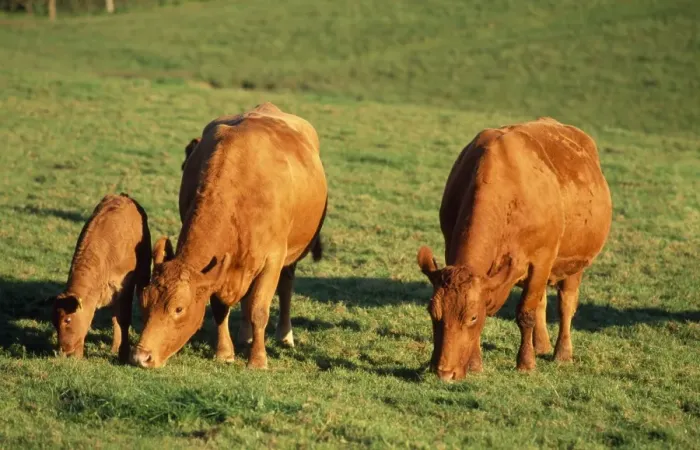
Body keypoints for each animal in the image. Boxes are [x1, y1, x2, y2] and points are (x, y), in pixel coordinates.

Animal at [50, 193, 151, 362]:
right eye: (54, 322)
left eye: (67, 320)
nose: (62, 350)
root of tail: (123, 197)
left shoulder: (125, 286)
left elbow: (124, 319)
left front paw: (124, 354)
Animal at [132, 102, 328, 369]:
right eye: (145, 302)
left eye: (179, 309)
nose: (141, 357)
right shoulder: (219, 269)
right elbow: (221, 307)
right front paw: (225, 352)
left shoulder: (273, 259)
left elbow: (259, 309)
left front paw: (258, 360)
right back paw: (245, 335)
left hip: (292, 254)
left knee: (286, 287)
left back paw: (284, 335)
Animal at [416, 117, 612, 381]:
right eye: (433, 313)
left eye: (472, 317)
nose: (444, 372)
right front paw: (476, 364)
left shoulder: (542, 259)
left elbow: (525, 313)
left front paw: (526, 363)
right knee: (542, 301)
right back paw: (542, 345)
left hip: (575, 263)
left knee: (565, 305)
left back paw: (562, 353)